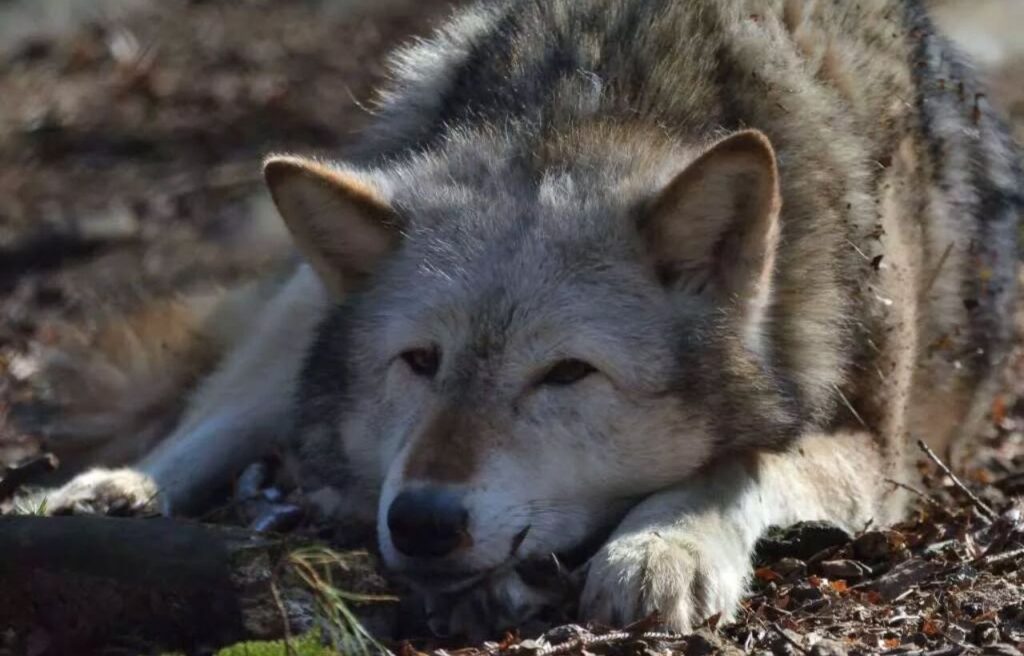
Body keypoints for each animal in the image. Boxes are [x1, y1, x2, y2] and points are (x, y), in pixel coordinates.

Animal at [37, 0, 1021, 638]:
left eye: (567, 373)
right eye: (421, 362)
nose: (423, 522)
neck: (603, 109)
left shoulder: (878, 453)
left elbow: (743, 457)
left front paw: (659, 548)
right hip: (309, 292)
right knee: (223, 408)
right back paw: (106, 492)